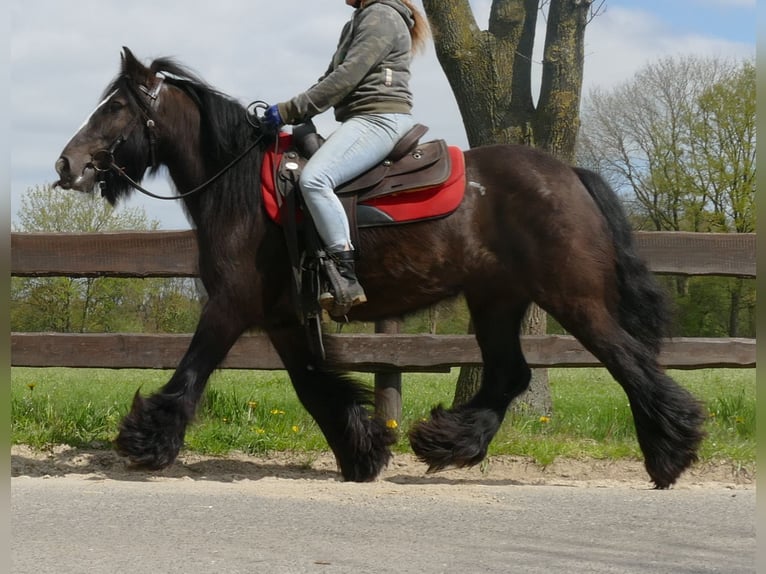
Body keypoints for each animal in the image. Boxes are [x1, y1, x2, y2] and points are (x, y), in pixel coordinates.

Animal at [55, 48, 708, 490]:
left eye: (116, 108)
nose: (67, 164)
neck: (241, 188)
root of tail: (571, 175)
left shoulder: (231, 305)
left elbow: (191, 372)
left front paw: (145, 441)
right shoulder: (286, 319)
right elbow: (316, 388)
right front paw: (364, 452)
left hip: (574, 299)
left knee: (629, 363)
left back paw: (670, 454)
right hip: (497, 301)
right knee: (511, 374)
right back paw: (447, 443)